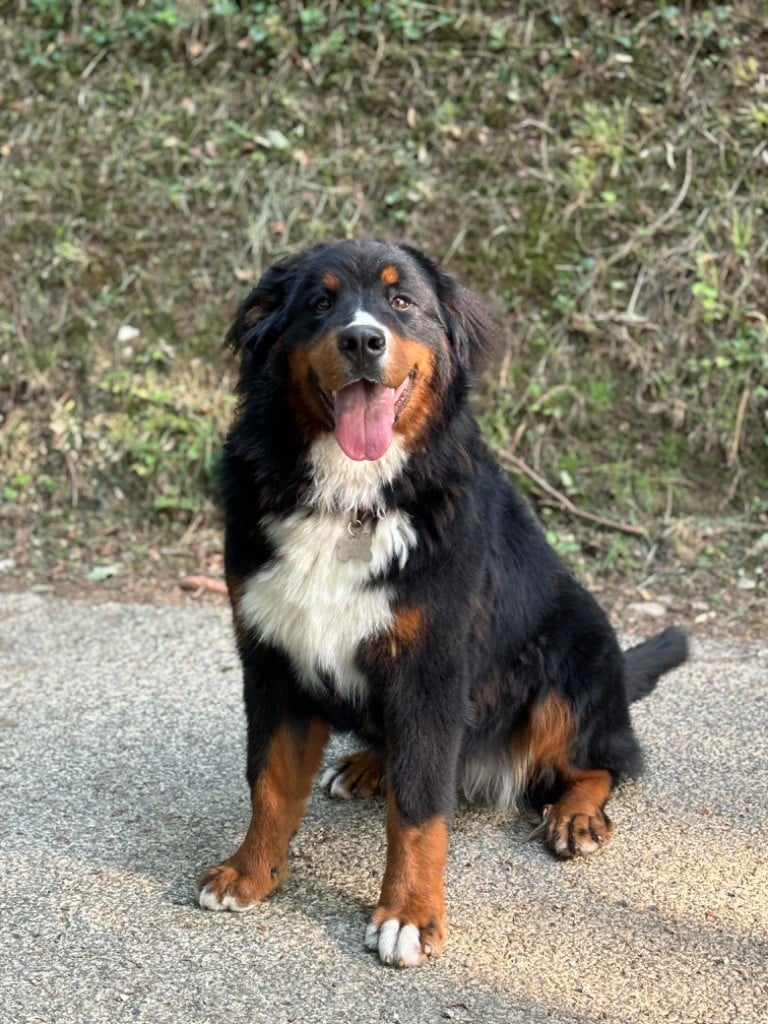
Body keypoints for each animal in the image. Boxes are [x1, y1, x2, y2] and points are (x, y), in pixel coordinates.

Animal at [195, 239, 688, 966]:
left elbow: (421, 807)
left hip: (569, 656)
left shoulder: (431, 670)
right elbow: (271, 783)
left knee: (603, 759)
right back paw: (369, 764)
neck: (350, 500)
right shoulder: (274, 656)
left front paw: (409, 914)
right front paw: (251, 872)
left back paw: (575, 814)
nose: (362, 339)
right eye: (319, 301)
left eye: (401, 301)